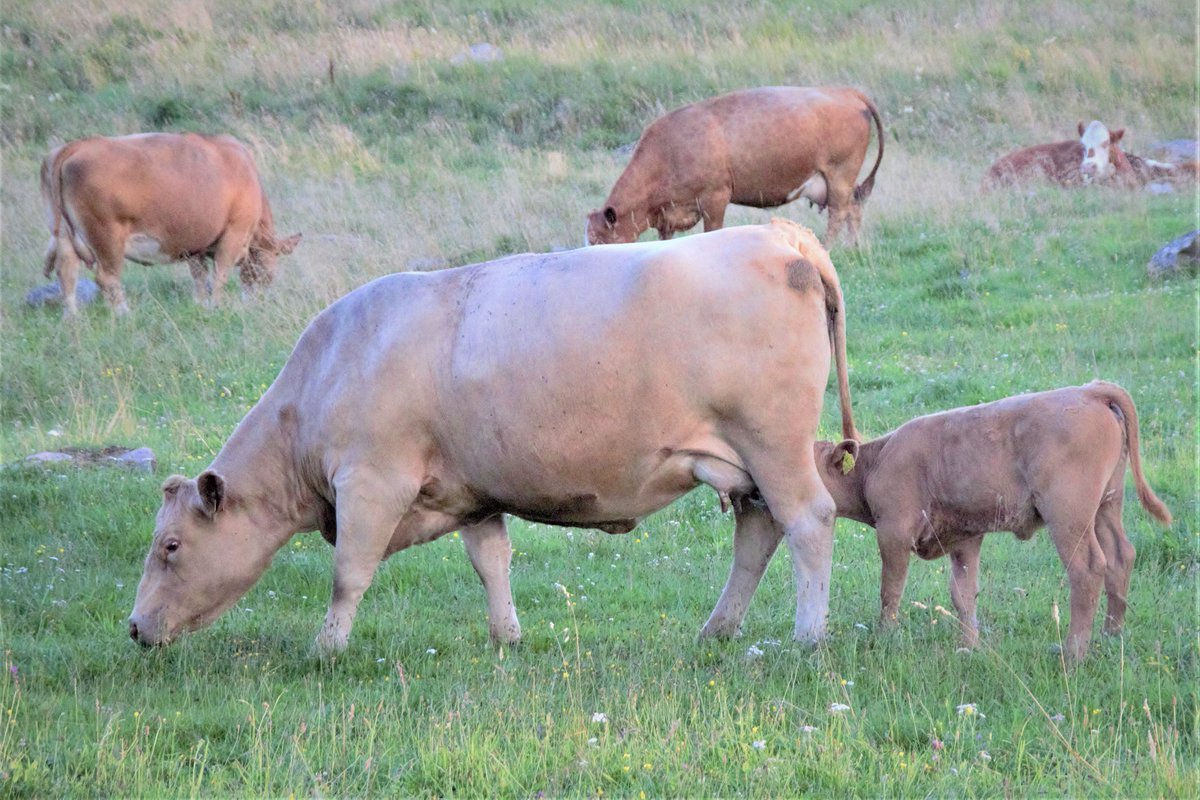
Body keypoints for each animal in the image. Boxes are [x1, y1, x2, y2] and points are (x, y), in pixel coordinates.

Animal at [40, 131, 300, 316]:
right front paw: (216, 306)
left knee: (67, 273)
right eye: (268, 273)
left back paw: (73, 317)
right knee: (107, 278)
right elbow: (220, 274)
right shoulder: (234, 233)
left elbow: (199, 276)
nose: (258, 302)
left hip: (64, 235)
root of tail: (76, 145)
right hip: (107, 237)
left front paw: (201, 304)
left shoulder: (196, 243)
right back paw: (124, 313)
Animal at [129, 220, 864, 657]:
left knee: (808, 521)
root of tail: (780, 235)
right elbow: (492, 563)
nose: (134, 627)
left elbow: (348, 573)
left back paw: (807, 635)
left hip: (772, 444)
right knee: (758, 534)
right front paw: (506, 636)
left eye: (171, 546)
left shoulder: (371, 481)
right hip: (745, 465)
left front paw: (327, 647)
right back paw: (717, 628)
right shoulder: (471, 491)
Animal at [585, 83, 888, 247]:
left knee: (839, 212)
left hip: (839, 173)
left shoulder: (715, 196)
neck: (669, 150)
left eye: (600, 241)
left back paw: (830, 248)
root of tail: (844, 91)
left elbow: (712, 232)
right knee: (854, 207)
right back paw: (853, 247)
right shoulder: (667, 214)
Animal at [816, 381, 1171, 662]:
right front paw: (968, 646)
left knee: (1088, 568)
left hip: (1069, 515)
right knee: (1120, 556)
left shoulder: (894, 532)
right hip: (1106, 505)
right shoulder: (965, 537)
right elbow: (963, 594)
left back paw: (1072, 653)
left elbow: (890, 590)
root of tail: (1090, 390)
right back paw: (1111, 636)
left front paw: (885, 636)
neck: (876, 463)